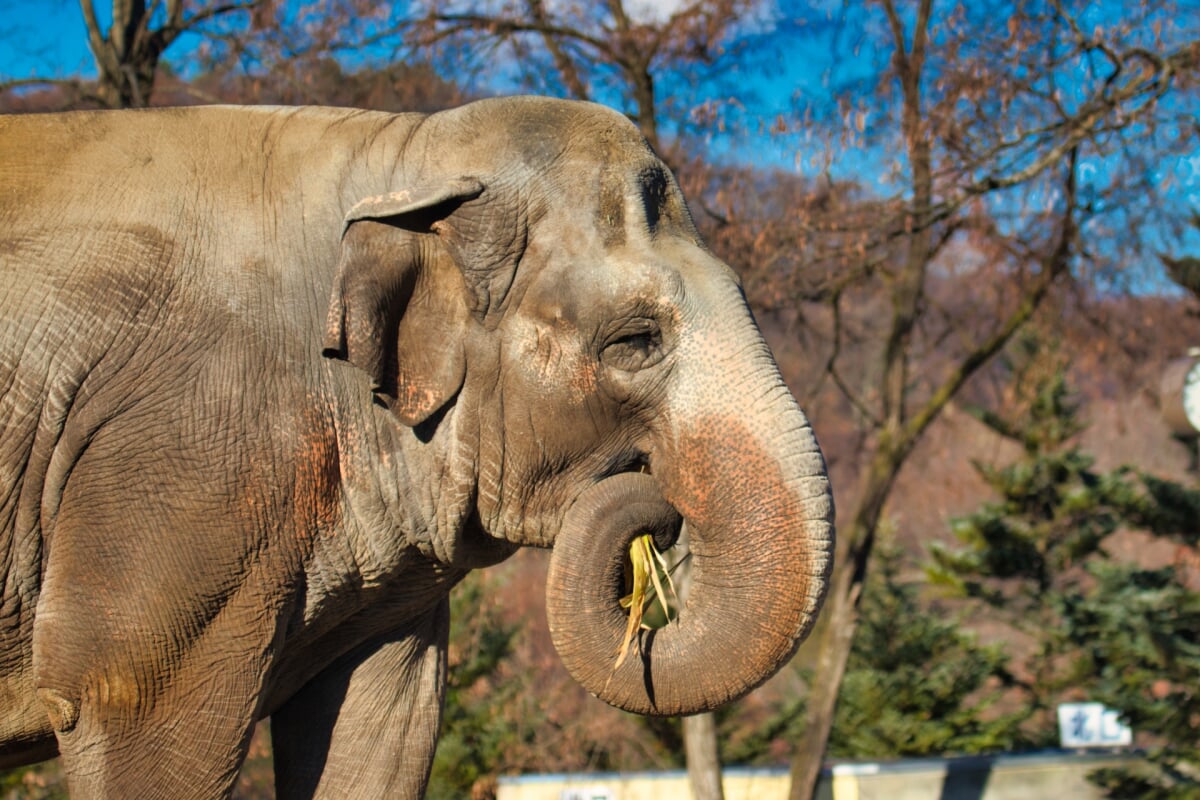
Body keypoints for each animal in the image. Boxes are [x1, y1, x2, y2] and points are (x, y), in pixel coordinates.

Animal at [0, 97, 835, 796]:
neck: (407, 148)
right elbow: (129, 700)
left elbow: (386, 725)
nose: (656, 507)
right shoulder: (187, 450)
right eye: (635, 340)